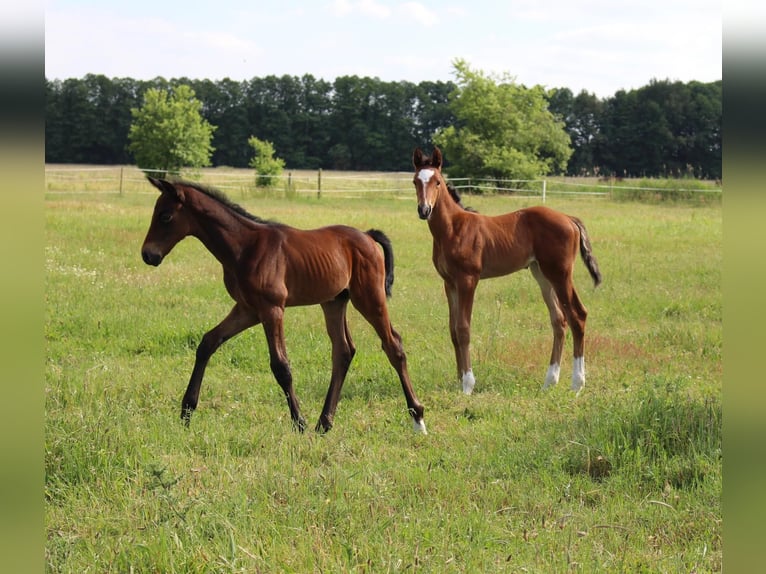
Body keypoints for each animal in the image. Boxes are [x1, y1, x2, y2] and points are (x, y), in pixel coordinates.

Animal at [138, 178, 426, 434]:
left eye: (165, 216)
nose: (148, 255)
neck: (245, 247)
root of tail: (367, 236)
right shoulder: (247, 309)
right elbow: (208, 343)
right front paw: (186, 411)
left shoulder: (272, 309)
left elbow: (281, 367)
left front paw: (299, 422)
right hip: (333, 301)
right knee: (343, 351)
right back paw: (325, 423)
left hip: (369, 297)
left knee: (393, 345)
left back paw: (418, 418)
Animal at [412, 147, 604, 396]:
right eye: (415, 181)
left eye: (437, 182)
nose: (424, 210)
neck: (453, 229)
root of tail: (570, 219)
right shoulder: (449, 283)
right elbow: (453, 330)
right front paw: (458, 379)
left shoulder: (468, 280)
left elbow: (464, 329)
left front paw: (468, 384)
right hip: (541, 275)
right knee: (559, 320)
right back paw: (549, 382)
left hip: (560, 273)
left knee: (577, 315)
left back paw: (577, 384)